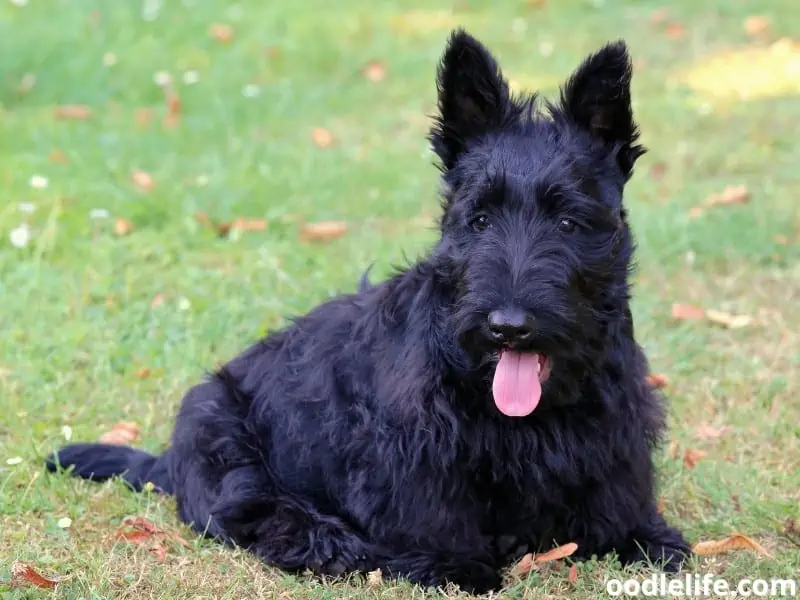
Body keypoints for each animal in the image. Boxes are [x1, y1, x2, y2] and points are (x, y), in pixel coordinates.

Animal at [47, 31, 692, 592]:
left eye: (568, 221)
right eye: (480, 218)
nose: (507, 328)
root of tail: (171, 460)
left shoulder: (614, 430)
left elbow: (619, 504)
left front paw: (644, 537)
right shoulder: (410, 453)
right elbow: (433, 515)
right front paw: (454, 565)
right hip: (225, 439)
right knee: (258, 515)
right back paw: (336, 544)